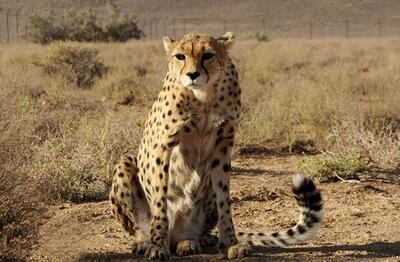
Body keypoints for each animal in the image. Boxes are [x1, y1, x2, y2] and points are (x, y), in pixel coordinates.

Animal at [108, 31, 322, 258]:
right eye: (180, 56)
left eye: (208, 55)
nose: (192, 75)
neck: (203, 96)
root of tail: (177, 234)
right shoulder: (162, 145)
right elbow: (159, 200)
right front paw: (157, 245)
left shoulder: (223, 145)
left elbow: (224, 199)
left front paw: (230, 243)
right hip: (124, 163)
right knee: (137, 226)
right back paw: (145, 242)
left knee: (198, 232)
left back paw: (190, 242)